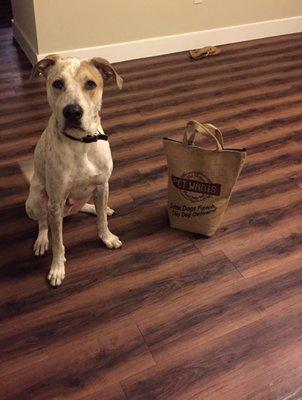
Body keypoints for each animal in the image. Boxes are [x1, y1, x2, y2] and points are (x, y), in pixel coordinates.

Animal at [25, 55, 123, 288]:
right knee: (43, 222)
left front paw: (107, 237)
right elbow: (58, 243)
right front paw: (57, 269)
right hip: (35, 202)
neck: (80, 144)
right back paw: (42, 240)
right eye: (57, 84)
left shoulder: (102, 184)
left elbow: (102, 222)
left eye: (91, 84)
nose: (72, 112)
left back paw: (99, 208)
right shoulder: (56, 200)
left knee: (86, 206)